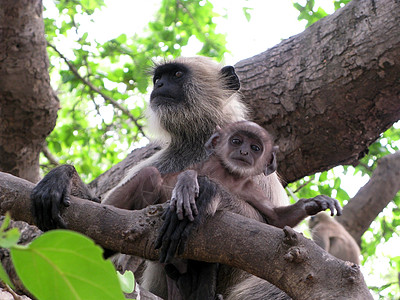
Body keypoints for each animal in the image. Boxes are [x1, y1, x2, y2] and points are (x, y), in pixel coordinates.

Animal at [29, 57, 290, 298]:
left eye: (176, 74)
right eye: (158, 79)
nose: (160, 85)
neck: (200, 142)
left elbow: (272, 230)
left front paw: (206, 192)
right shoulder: (164, 159)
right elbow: (101, 214)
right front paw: (63, 177)